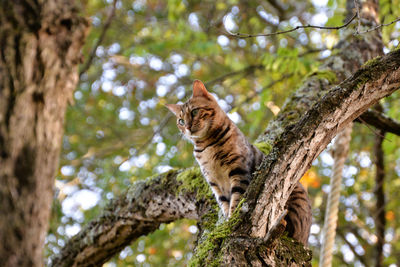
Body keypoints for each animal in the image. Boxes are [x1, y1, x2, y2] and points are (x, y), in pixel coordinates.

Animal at [166, 80, 312, 246]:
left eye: (195, 112)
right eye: (181, 121)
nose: (187, 127)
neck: (207, 145)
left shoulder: (238, 170)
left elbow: (236, 198)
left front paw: (231, 220)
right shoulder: (215, 183)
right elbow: (224, 204)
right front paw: (226, 221)